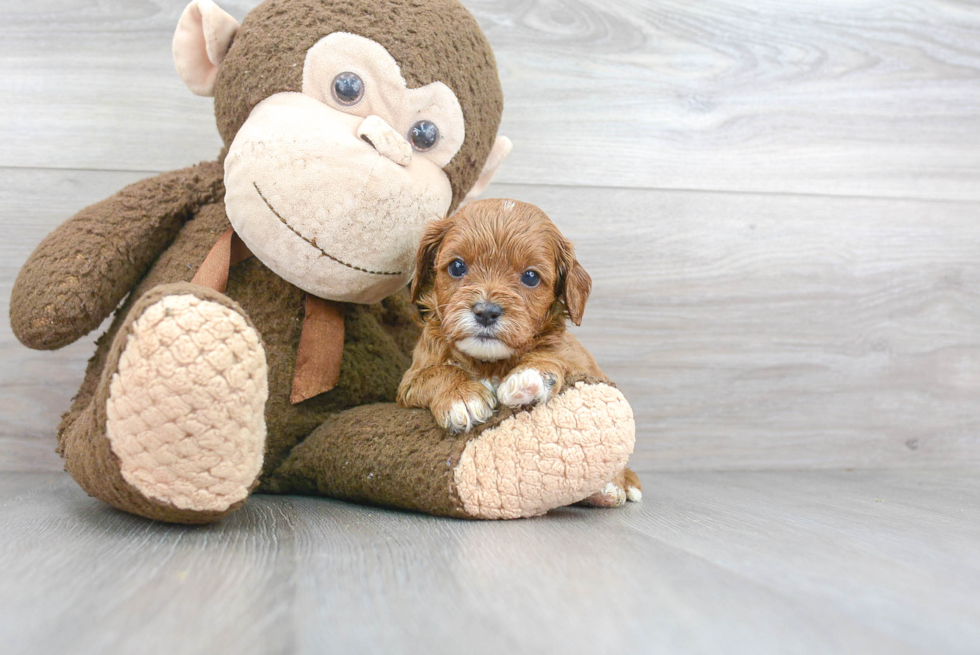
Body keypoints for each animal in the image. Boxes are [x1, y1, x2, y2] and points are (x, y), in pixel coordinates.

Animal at [394, 200, 600, 436]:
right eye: (457, 266)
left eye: (531, 277)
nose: (486, 312)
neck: (489, 363)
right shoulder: (410, 380)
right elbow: (438, 372)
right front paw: (460, 395)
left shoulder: (585, 367)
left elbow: (555, 354)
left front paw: (529, 375)